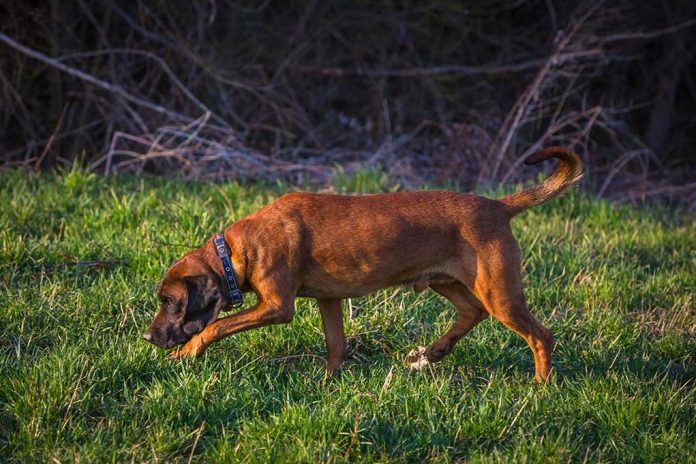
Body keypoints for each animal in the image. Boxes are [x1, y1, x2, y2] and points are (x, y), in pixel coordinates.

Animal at [144, 148, 584, 380]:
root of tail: (498, 206)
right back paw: (433, 352)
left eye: (171, 303)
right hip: (448, 282)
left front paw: (187, 353)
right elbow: (335, 345)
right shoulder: (328, 300)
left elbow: (215, 325)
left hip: (499, 293)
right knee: (472, 313)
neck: (236, 250)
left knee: (540, 336)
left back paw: (540, 385)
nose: (148, 337)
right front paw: (330, 381)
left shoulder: (276, 307)